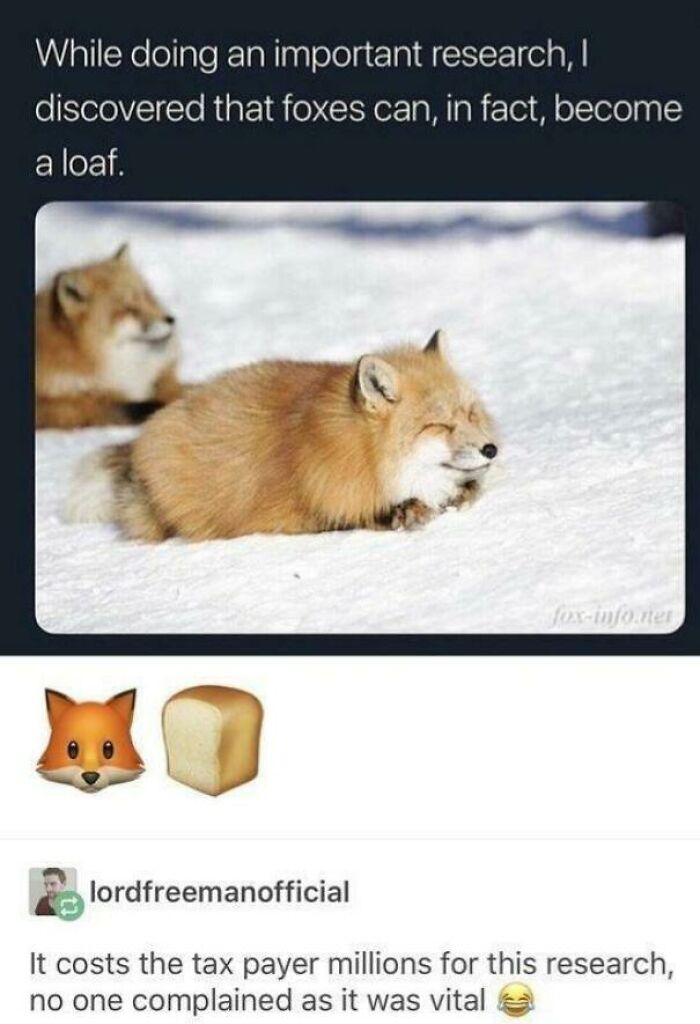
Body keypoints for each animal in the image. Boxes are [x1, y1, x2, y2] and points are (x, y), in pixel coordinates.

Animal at [65, 329, 498, 542]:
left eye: (470, 413)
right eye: (439, 425)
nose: (491, 449)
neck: (359, 454)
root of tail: (143, 436)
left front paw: (461, 493)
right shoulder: (308, 508)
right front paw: (409, 511)